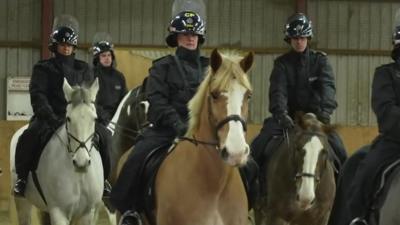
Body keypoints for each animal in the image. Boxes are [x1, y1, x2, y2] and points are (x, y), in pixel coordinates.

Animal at [10, 78, 104, 225]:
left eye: (95, 118)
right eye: (68, 118)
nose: (81, 163)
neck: (78, 176)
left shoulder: (87, 214)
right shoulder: (58, 212)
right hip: (23, 203)